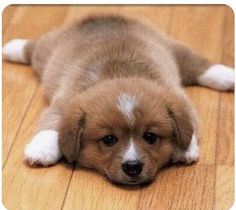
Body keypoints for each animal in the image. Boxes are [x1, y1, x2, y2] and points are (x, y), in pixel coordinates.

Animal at [3, 15, 234, 185]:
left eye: (150, 136)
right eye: (109, 140)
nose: (132, 167)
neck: (119, 76)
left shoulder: (179, 99)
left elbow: (189, 123)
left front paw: (185, 148)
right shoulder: (63, 104)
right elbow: (51, 125)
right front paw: (41, 149)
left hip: (173, 49)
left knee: (198, 65)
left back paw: (226, 76)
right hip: (46, 54)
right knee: (33, 48)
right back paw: (12, 47)